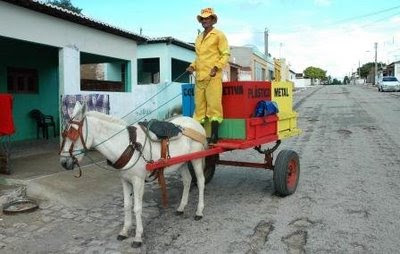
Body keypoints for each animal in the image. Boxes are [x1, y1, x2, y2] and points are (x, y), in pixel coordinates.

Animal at [61, 102, 208, 247]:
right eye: (64, 134)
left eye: (72, 133)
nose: (63, 163)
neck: (127, 144)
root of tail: (196, 123)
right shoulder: (125, 180)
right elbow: (127, 205)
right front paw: (124, 231)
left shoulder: (138, 181)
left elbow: (137, 208)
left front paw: (138, 237)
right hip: (182, 162)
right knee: (187, 181)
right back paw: (181, 208)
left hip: (196, 159)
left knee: (201, 181)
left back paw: (199, 211)